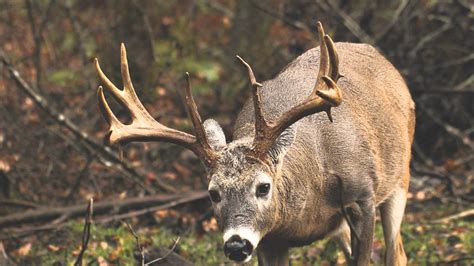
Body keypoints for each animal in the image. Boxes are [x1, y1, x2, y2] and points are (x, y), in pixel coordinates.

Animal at [94, 21, 412, 264]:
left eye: (263, 186)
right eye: (213, 193)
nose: (237, 245)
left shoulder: (362, 198)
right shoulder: (271, 239)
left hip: (400, 178)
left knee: (397, 253)